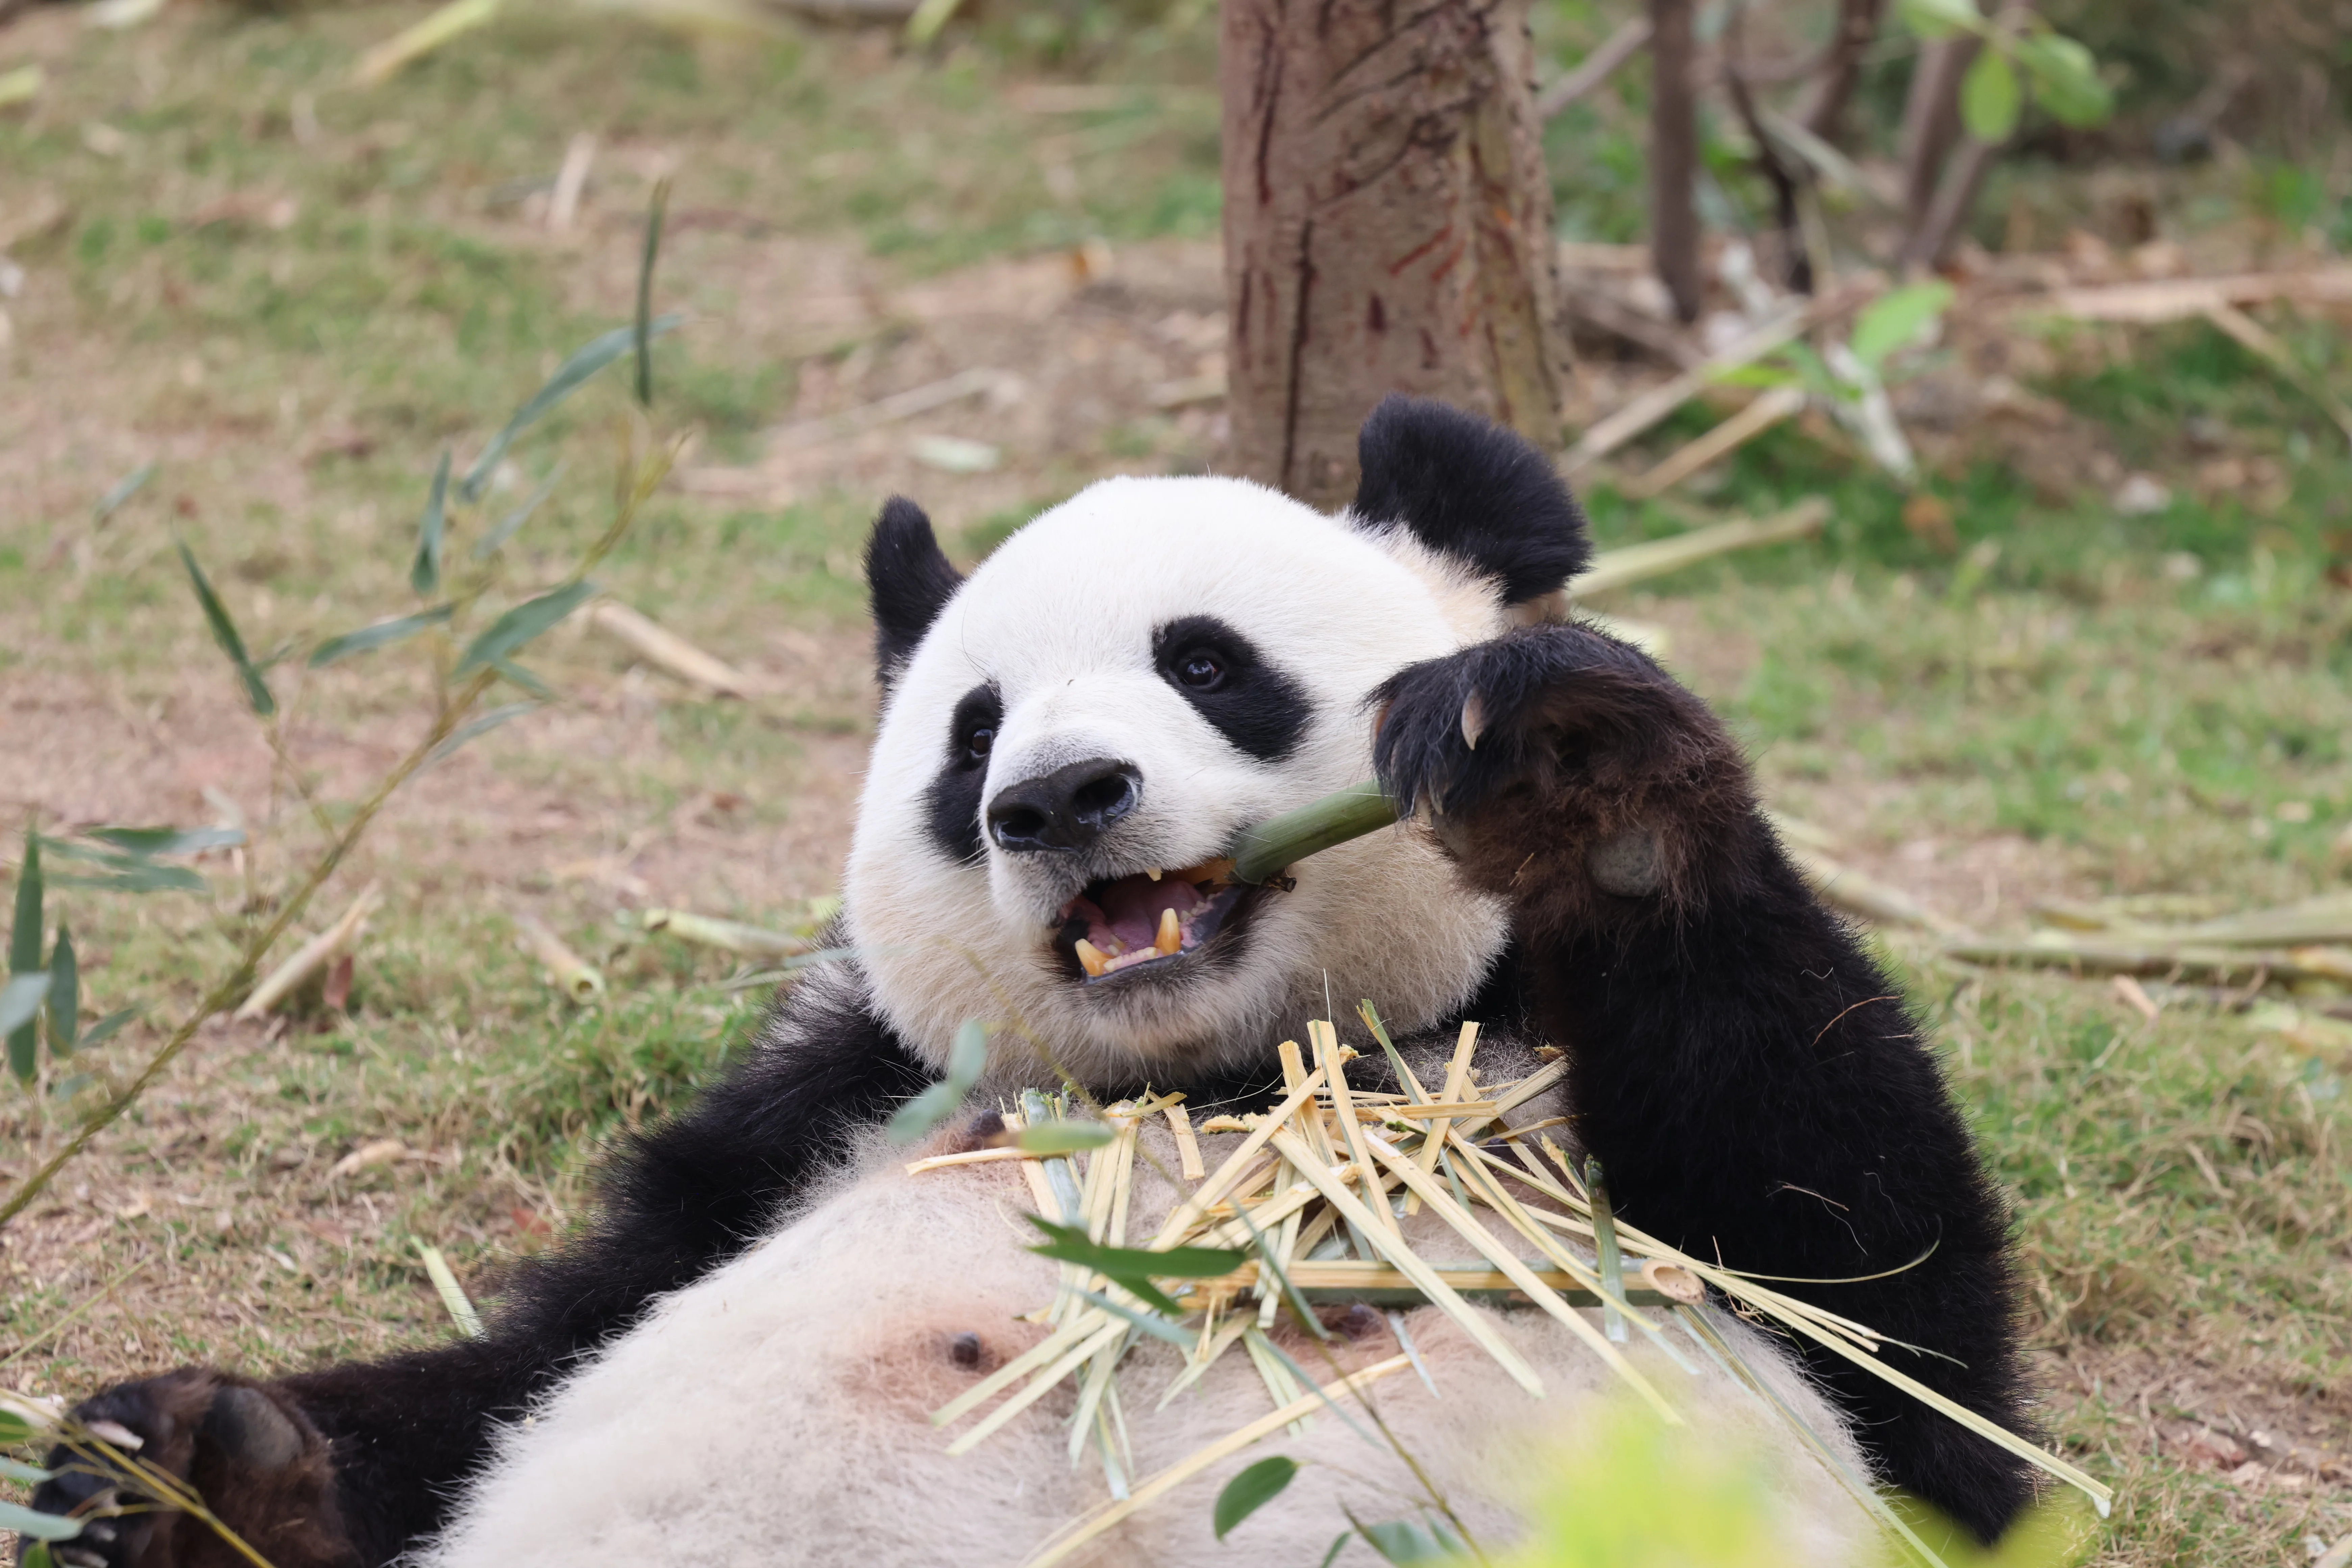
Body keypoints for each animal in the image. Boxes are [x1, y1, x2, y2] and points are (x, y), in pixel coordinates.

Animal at [27, 397, 2035, 1568]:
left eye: (1210, 664)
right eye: (971, 730)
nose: (1057, 799)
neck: (1211, 1081)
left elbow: (1904, 1346)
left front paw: (1580, 785)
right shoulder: (818, 1116)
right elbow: (516, 1368)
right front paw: (186, 1464)